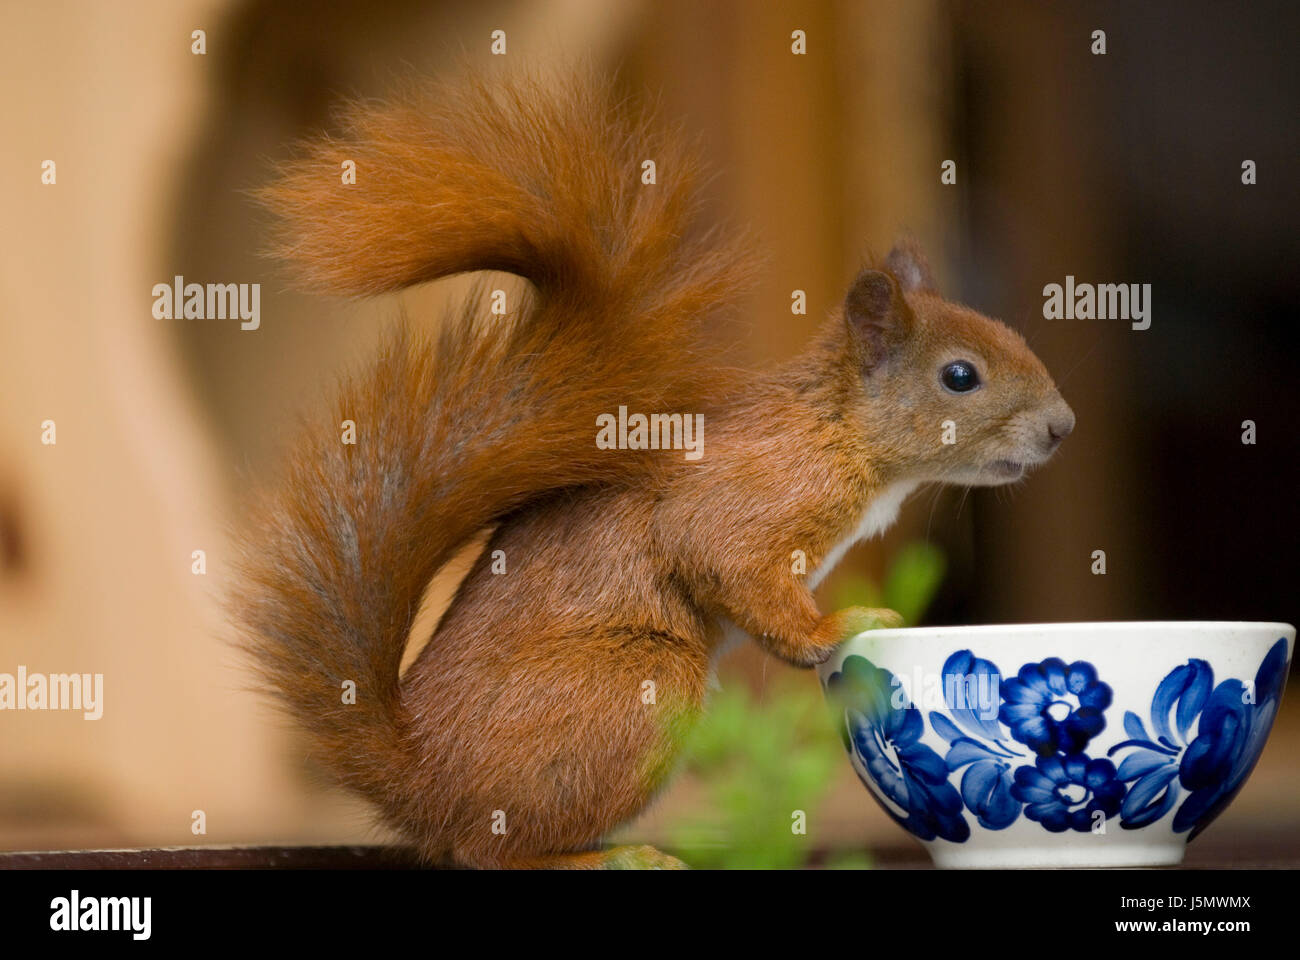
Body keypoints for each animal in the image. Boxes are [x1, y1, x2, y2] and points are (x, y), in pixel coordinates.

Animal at [235, 69, 1075, 869]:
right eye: (959, 376)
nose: (1063, 428)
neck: (834, 432)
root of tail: (421, 780)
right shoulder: (748, 506)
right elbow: (735, 571)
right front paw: (843, 627)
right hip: (638, 685)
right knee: (486, 851)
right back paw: (612, 856)